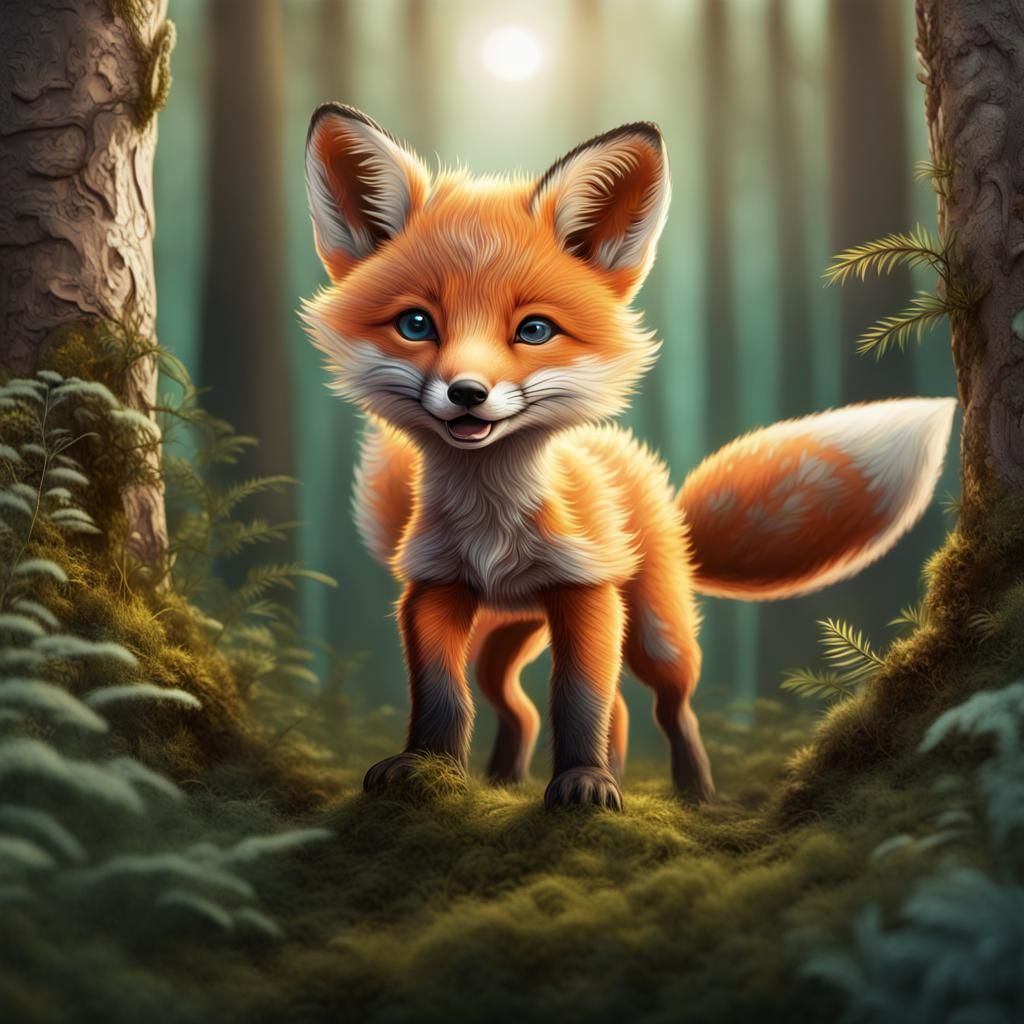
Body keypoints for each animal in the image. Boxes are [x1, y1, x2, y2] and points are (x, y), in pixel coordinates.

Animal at [301, 104, 956, 810]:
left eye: (534, 330)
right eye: (416, 324)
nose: (467, 393)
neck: (491, 525)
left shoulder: (587, 590)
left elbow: (580, 698)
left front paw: (585, 781)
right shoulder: (434, 588)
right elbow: (441, 696)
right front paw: (427, 770)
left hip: (654, 633)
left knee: (663, 707)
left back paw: (692, 792)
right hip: (504, 635)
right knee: (528, 706)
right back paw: (507, 778)